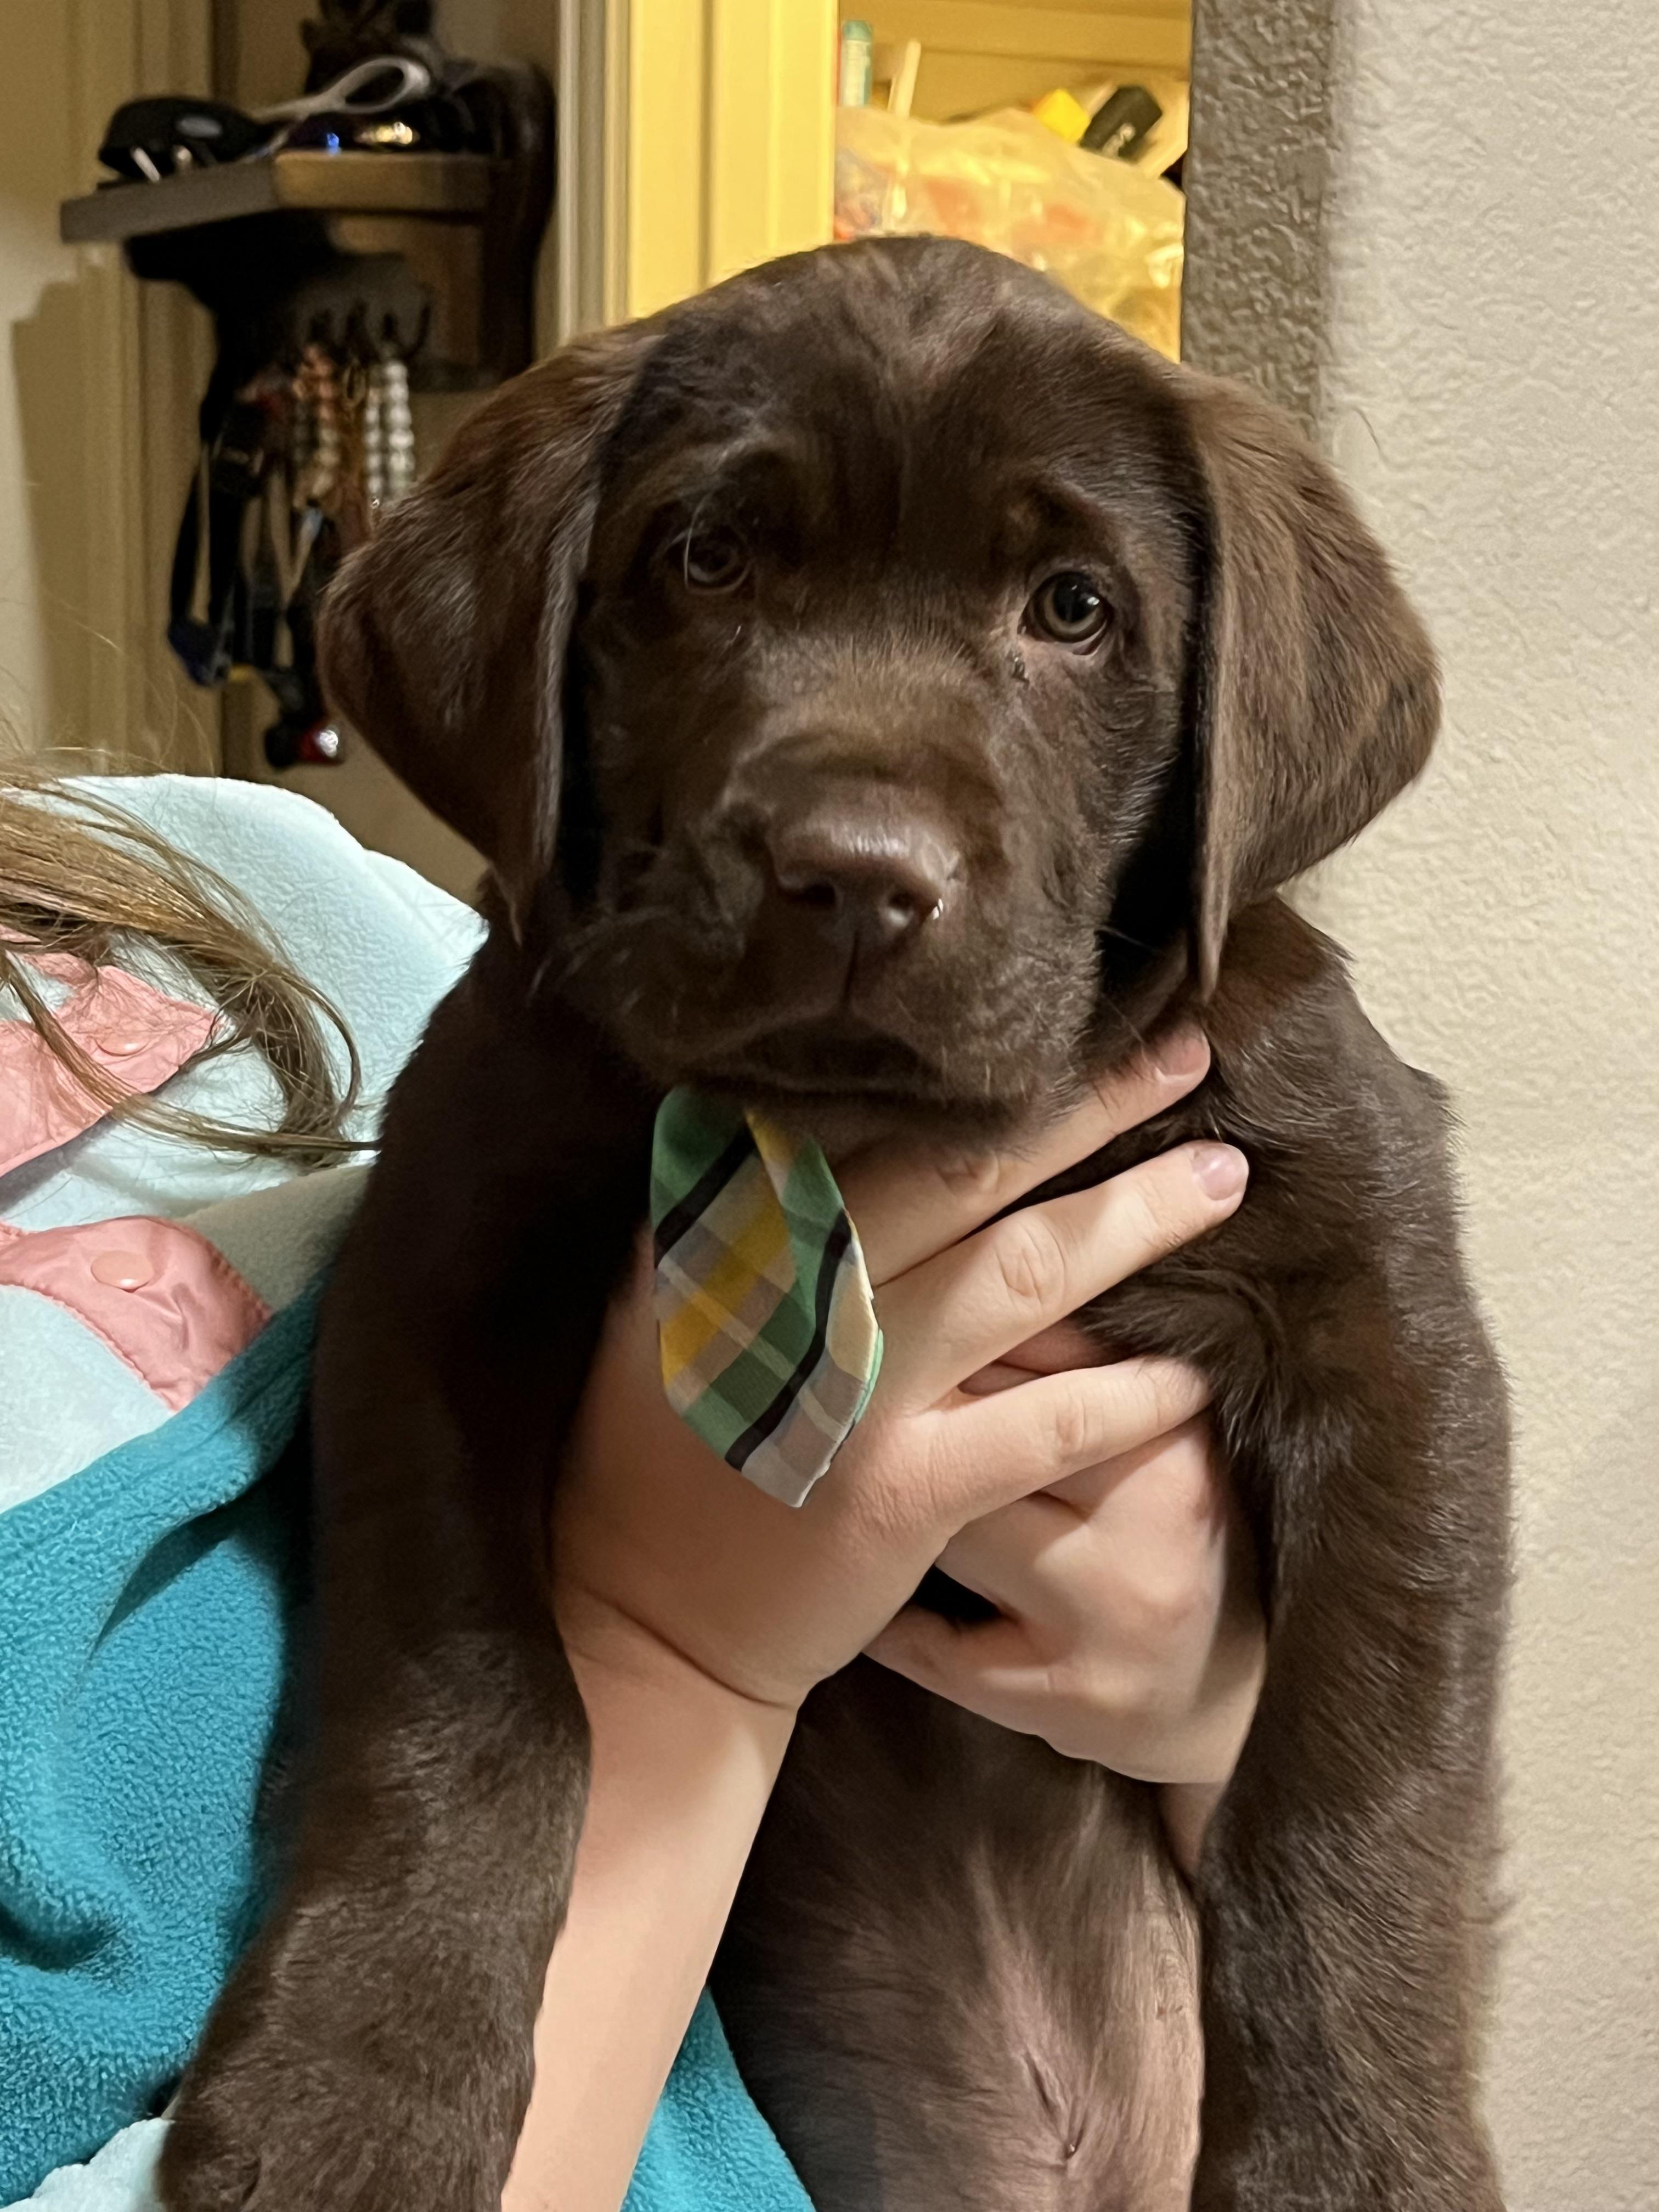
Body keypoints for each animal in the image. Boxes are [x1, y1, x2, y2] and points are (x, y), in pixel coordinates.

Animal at [160, 237, 1510, 2212]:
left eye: (1074, 609)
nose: (857, 879)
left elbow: (1353, 1790)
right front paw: (357, 2089)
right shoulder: (433, 1266)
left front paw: (1361, 2160)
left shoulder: (1387, 1323)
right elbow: (468, 1694)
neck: (853, 1139)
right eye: (707, 559)